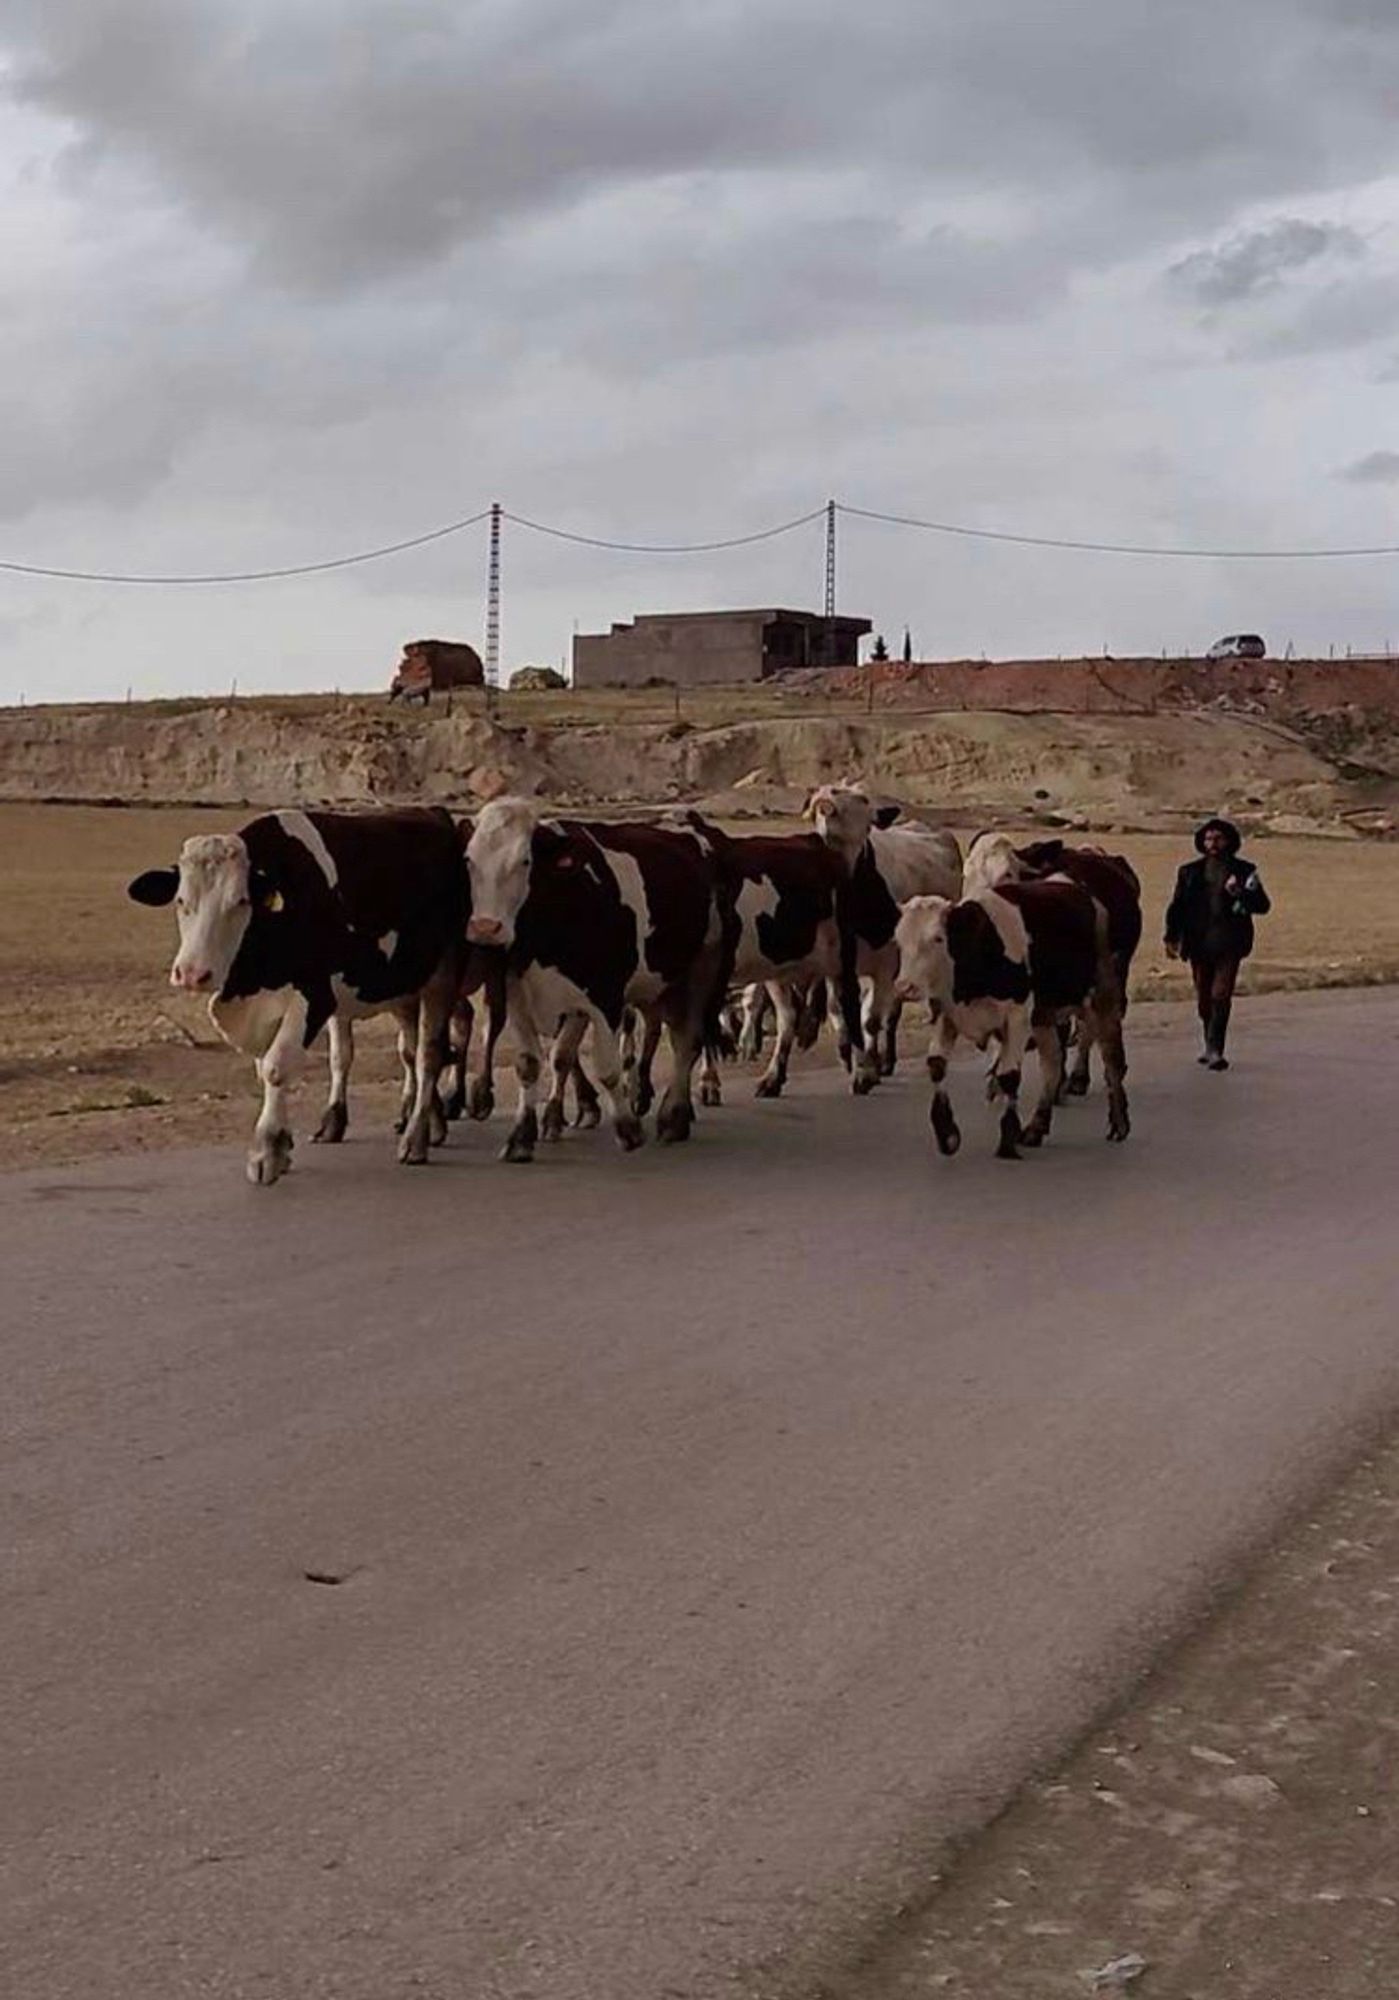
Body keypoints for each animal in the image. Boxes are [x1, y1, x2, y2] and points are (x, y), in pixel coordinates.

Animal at [124, 804, 467, 1176]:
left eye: (240, 901)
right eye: (181, 900)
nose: (191, 973)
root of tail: (432, 812)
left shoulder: (315, 996)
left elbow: (276, 1067)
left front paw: (266, 1152)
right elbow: (281, 1065)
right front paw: (286, 1141)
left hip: (442, 975)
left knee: (428, 1055)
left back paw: (416, 1137)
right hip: (402, 987)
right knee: (402, 1049)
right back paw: (429, 1123)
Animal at [469, 796, 731, 1168]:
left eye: (524, 861)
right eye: (468, 860)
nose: (485, 928)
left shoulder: (606, 998)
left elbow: (607, 1068)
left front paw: (628, 1130)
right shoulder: (520, 994)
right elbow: (534, 1064)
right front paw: (522, 1137)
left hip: (703, 968)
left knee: (688, 1042)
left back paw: (673, 1117)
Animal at [807, 784, 963, 1096]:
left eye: (867, 816)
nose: (827, 799)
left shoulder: (887, 965)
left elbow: (870, 1019)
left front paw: (866, 1072)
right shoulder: (836, 965)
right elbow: (840, 1010)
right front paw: (848, 1056)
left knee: (891, 1015)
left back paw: (886, 1061)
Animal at [891, 884, 1135, 1168]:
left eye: (938, 938)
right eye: (899, 940)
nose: (905, 987)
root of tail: (1086, 895)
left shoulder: (1017, 1018)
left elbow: (1008, 1076)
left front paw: (1007, 1140)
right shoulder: (947, 1015)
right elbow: (937, 1065)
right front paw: (947, 1133)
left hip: (1101, 1000)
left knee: (1111, 1057)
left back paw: (1119, 1122)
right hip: (1043, 1017)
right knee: (1052, 1064)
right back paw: (1036, 1127)